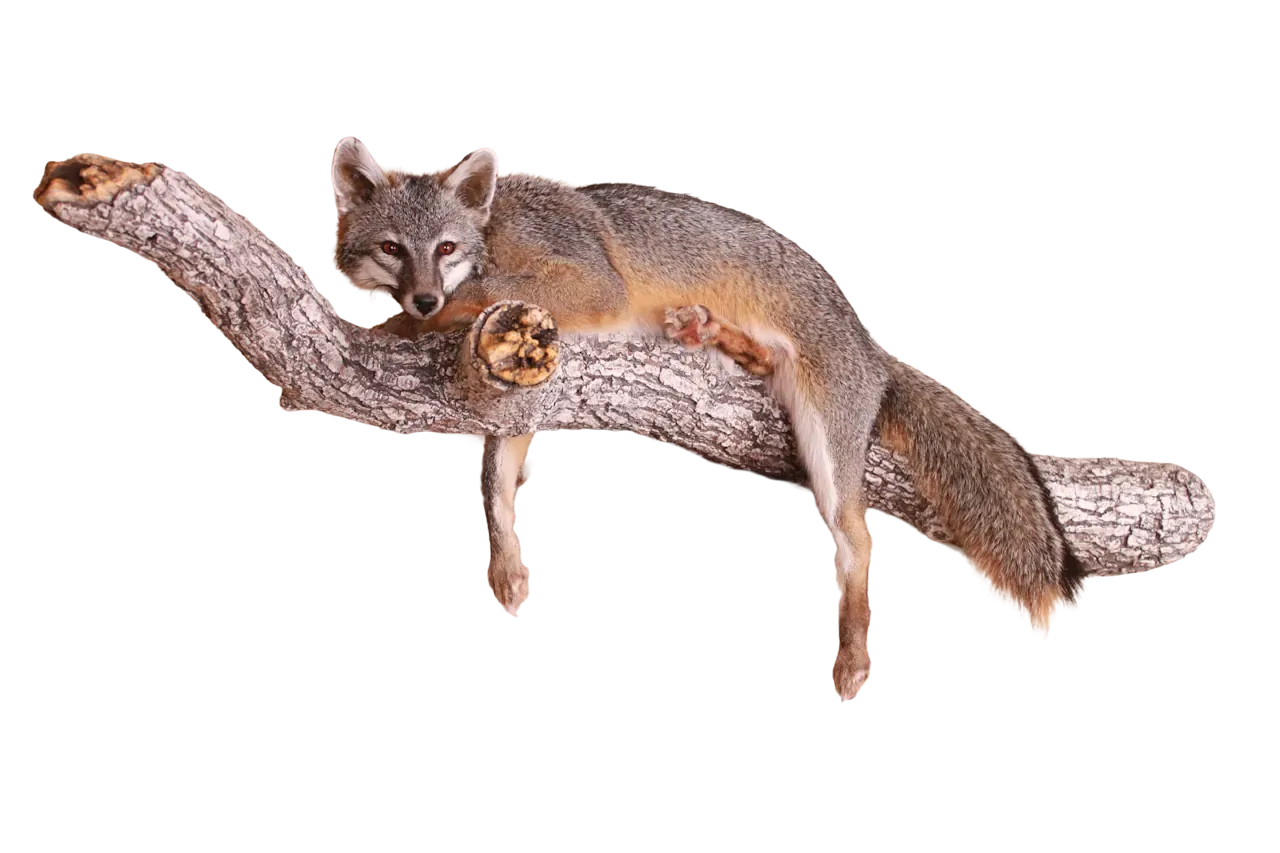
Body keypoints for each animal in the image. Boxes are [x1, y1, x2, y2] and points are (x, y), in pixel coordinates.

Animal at [328, 137, 1088, 702]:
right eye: (393, 249)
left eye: (446, 249)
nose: (423, 298)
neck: (496, 225)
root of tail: (867, 343)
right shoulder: (526, 379)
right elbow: (497, 479)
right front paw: (508, 563)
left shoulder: (586, 285)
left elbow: (486, 293)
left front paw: (401, 325)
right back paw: (713, 333)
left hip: (829, 447)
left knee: (856, 540)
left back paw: (852, 655)